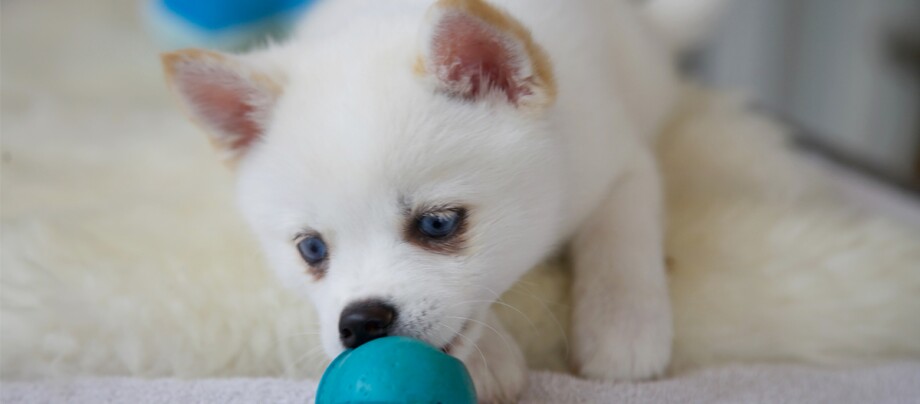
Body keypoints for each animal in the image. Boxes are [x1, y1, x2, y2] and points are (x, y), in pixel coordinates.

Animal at [162, 0, 724, 400]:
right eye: (312, 250)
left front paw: (623, 326)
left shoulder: (621, 160)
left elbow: (619, 236)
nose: (360, 322)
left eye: (437, 224)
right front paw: (489, 358)